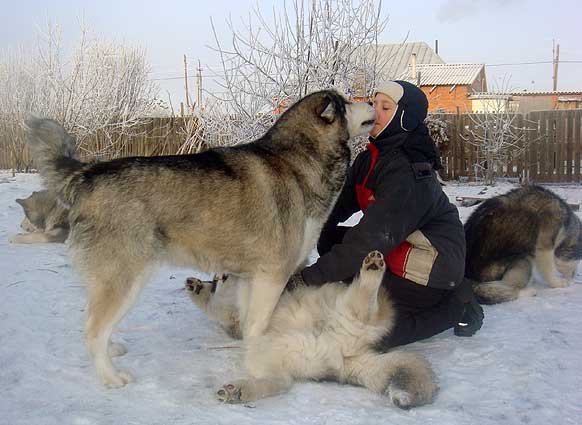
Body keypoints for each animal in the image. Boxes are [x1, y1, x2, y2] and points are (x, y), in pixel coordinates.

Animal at [25, 90, 376, 388]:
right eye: (346, 102)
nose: (373, 100)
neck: (297, 161)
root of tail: (87, 174)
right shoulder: (272, 277)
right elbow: (258, 327)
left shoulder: (251, 279)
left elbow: (249, 326)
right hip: (123, 281)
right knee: (92, 331)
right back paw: (110, 377)